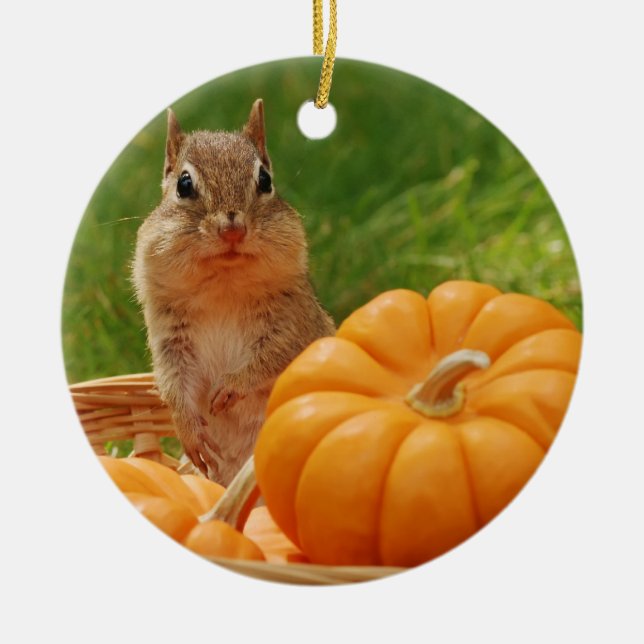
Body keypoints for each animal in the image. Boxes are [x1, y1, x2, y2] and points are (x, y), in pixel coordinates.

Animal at [132, 99, 335, 485]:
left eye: (265, 180)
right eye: (183, 185)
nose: (233, 229)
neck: (222, 286)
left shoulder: (293, 323)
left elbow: (273, 355)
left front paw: (231, 386)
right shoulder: (168, 335)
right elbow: (172, 383)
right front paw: (189, 432)